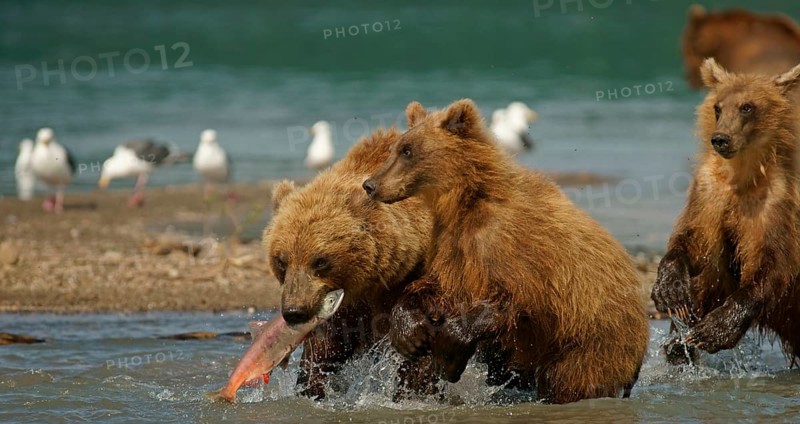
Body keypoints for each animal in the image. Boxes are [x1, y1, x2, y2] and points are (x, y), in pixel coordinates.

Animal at [262, 127, 438, 399]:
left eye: (320, 261)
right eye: (281, 260)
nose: (294, 311)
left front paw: (411, 386)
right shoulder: (345, 306)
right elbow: (323, 351)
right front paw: (311, 387)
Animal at [361, 99, 650, 404]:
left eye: (407, 150)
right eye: (395, 148)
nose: (370, 184)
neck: (467, 201)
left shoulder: (512, 246)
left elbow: (513, 298)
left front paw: (449, 351)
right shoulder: (452, 244)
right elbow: (437, 288)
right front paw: (409, 334)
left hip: (590, 342)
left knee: (570, 380)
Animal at [651, 58, 800, 366]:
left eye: (747, 106)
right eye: (718, 107)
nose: (720, 138)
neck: (742, 178)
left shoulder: (773, 203)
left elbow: (771, 262)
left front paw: (713, 330)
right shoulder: (709, 194)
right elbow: (695, 241)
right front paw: (670, 290)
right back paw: (677, 346)